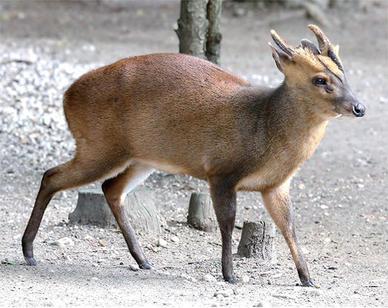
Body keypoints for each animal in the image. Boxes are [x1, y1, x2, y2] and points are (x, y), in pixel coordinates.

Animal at [22, 25, 366, 286]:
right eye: (320, 80)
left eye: (344, 74)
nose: (359, 107)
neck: (264, 128)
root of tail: (67, 95)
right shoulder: (221, 171)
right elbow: (227, 222)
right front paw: (230, 275)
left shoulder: (275, 185)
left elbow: (289, 226)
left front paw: (307, 278)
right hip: (98, 146)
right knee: (52, 176)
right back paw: (28, 251)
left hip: (139, 158)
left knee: (110, 189)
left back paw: (143, 259)